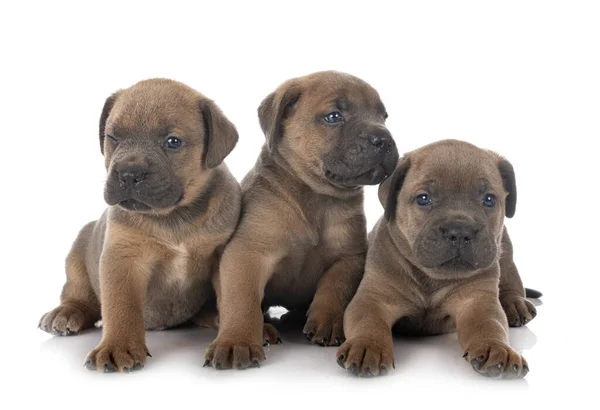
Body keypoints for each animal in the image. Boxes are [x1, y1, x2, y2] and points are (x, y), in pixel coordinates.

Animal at [38, 78, 241, 374]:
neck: (172, 217)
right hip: (78, 254)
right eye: (113, 137)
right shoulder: (122, 258)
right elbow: (121, 308)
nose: (128, 174)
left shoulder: (221, 255)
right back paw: (65, 312)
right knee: (80, 297)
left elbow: (231, 298)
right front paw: (117, 346)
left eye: (173, 142)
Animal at [205, 69, 398, 368]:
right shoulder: (247, 254)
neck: (316, 199)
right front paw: (237, 340)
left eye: (383, 117)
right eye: (333, 116)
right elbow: (242, 301)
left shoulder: (349, 256)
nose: (385, 140)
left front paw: (328, 322)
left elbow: (335, 288)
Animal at [338, 139, 540, 380]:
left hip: (505, 251)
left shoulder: (478, 301)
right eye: (423, 199)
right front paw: (368, 345)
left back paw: (515, 304)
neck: (431, 277)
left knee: (511, 280)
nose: (460, 231)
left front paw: (497, 348)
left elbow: (490, 325)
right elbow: (368, 323)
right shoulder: (373, 299)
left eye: (489, 200)